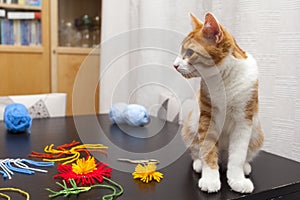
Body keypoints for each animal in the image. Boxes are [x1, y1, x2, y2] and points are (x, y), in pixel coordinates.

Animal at [175, 12, 264, 194]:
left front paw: (237, 180)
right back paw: (199, 164)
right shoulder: (206, 118)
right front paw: (210, 179)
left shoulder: (244, 121)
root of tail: (222, 158)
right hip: (190, 128)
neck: (223, 80)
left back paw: (245, 168)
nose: (175, 65)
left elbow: (237, 156)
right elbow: (207, 150)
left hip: (257, 133)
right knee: (197, 151)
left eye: (190, 52)